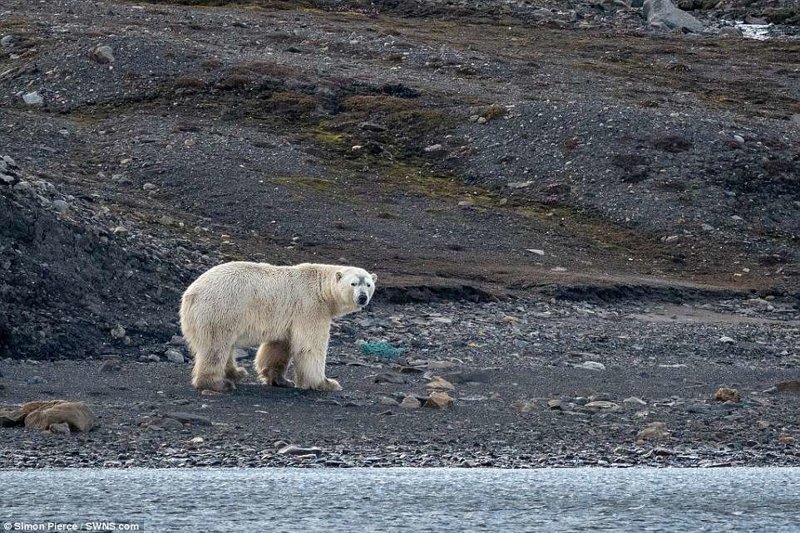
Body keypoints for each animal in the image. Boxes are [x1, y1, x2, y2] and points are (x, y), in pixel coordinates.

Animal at [181, 262, 378, 390]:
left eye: (369, 284)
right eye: (353, 283)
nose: (362, 297)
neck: (321, 289)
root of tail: (190, 294)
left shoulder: (288, 318)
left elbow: (279, 345)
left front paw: (280, 380)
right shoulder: (310, 307)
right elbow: (310, 346)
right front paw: (326, 383)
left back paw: (236, 373)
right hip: (222, 308)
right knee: (216, 346)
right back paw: (218, 383)